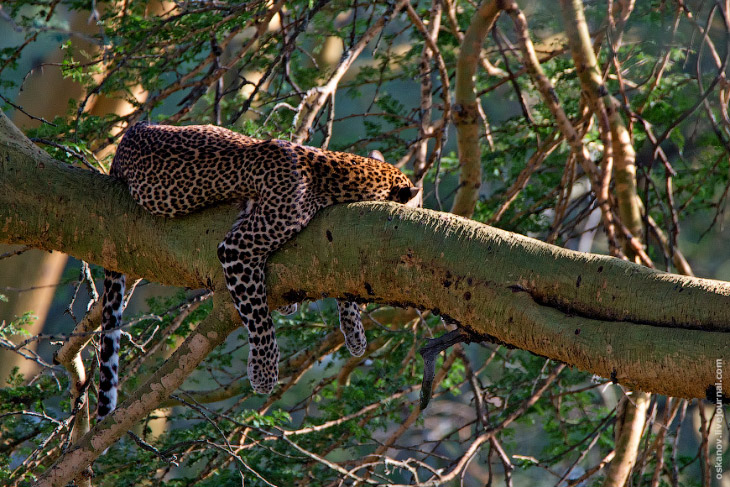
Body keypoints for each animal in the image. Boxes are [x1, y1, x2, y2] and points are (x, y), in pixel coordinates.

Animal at [97, 122, 418, 420]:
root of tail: (125, 140)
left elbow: (339, 280)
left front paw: (354, 332)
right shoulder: (237, 248)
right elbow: (259, 317)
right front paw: (264, 372)